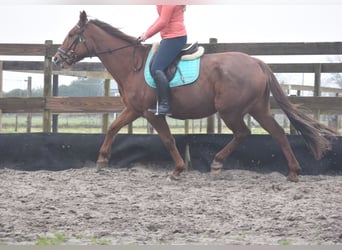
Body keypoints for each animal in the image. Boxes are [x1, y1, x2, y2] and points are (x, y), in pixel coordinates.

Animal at [53, 11, 336, 182]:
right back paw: (293, 172)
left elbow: (167, 139)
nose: (56, 59)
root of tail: (256, 62)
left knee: (244, 133)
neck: (132, 65)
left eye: (71, 35)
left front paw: (177, 170)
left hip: (231, 111)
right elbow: (113, 127)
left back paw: (219, 163)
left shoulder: (150, 113)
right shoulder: (133, 110)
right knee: (277, 133)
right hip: (258, 108)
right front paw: (101, 160)